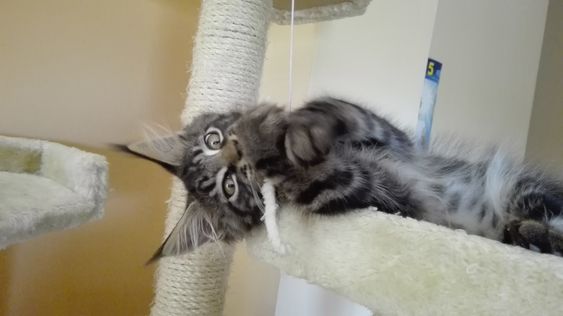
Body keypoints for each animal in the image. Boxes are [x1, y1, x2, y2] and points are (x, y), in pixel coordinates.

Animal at [121, 96, 563, 262]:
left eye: (212, 140)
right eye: (230, 187)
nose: (234, 147)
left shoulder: (396, 141)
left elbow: (342, 109)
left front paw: (290, 121)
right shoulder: (387, 196)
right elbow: (322, 179)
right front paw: (265, 142)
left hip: (521, 187)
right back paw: (528, 237)